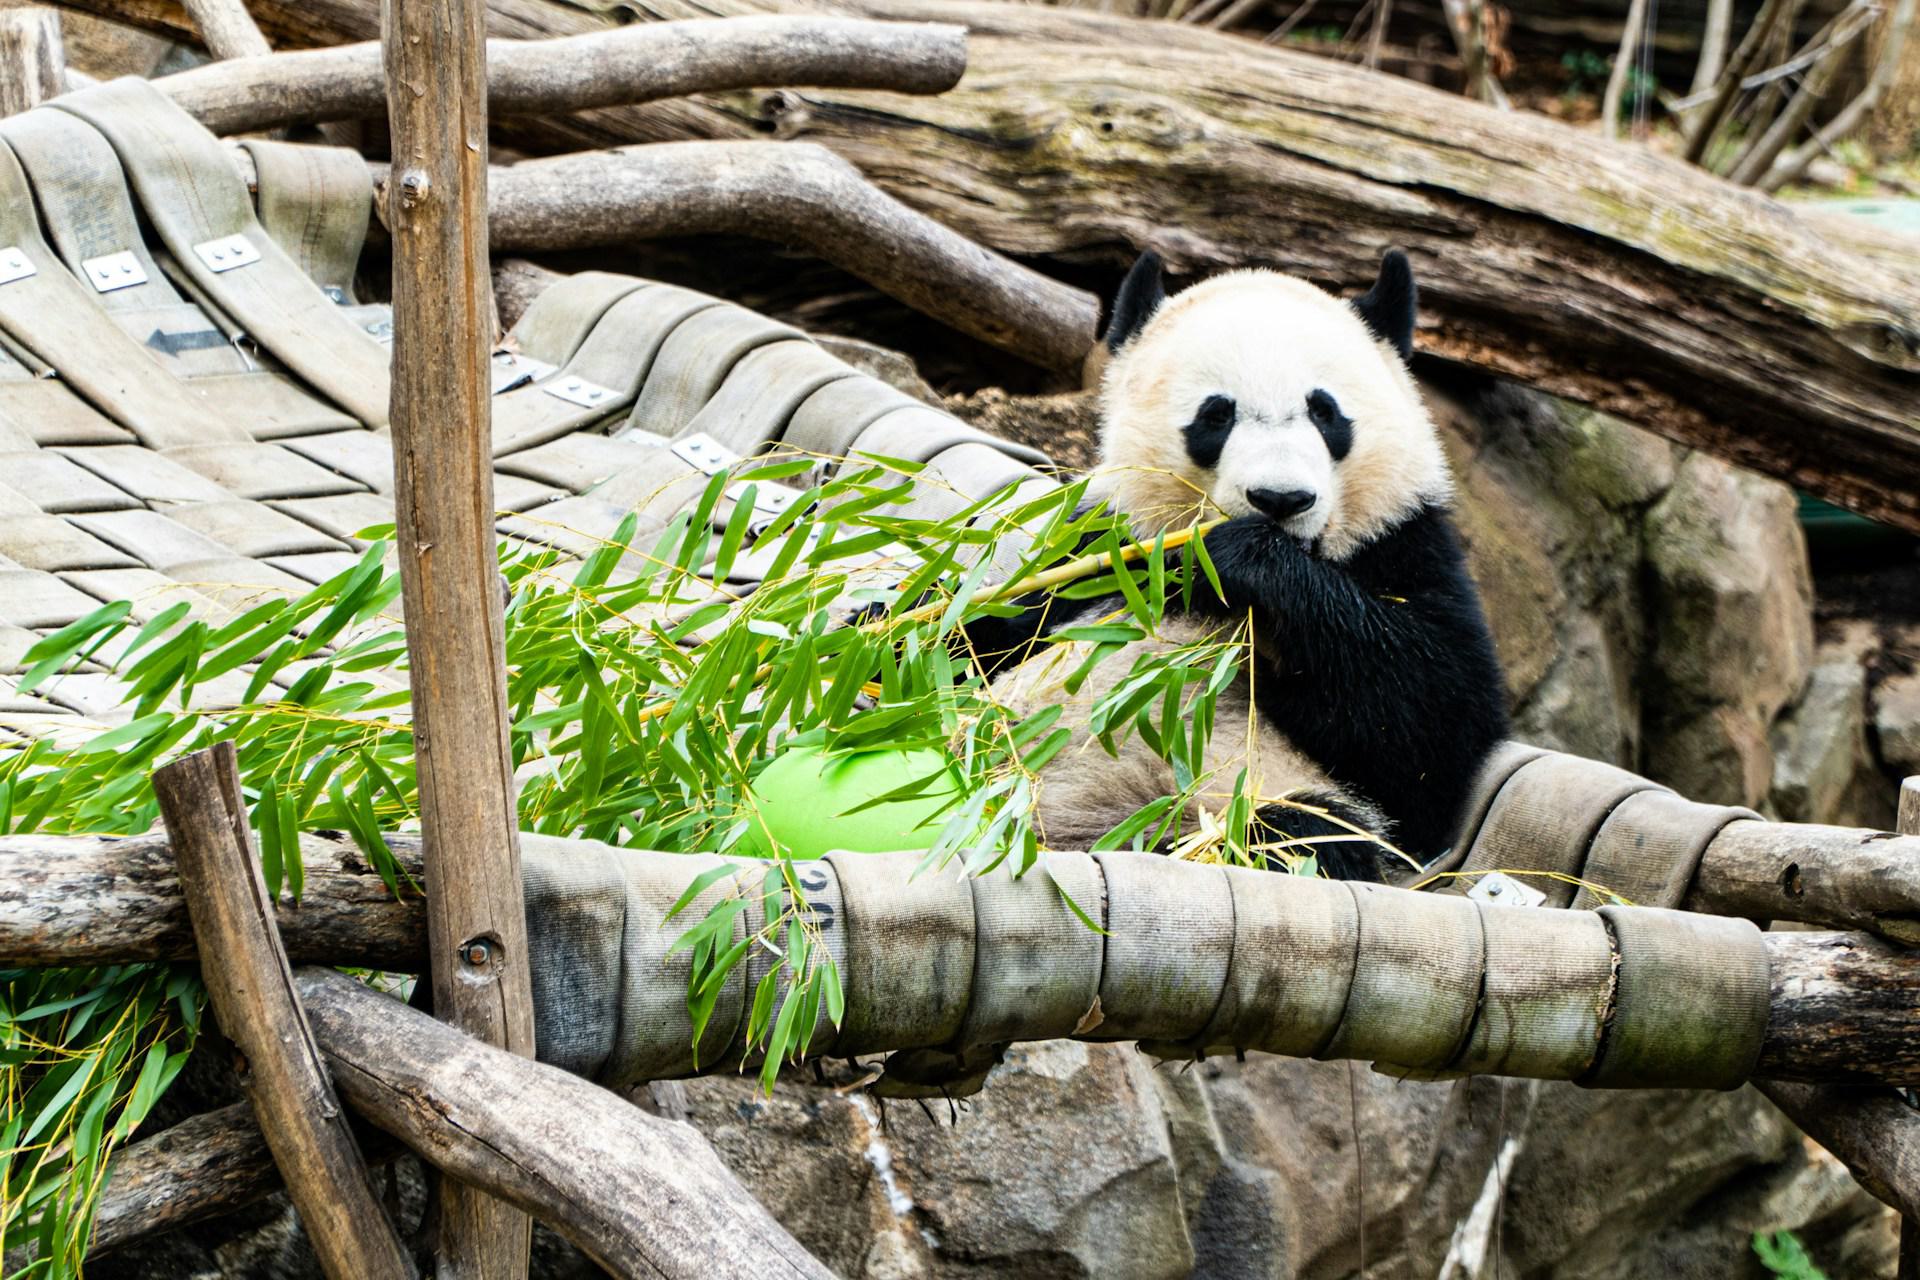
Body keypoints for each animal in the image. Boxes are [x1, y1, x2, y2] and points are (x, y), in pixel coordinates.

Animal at [964, 248, 1508, 881]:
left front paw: (1240, 561)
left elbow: (1432, 735)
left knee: (1301, 833)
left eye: (1325, 413)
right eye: (1216, 415)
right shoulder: (1107, 549)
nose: (1280, 499)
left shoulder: (1406, 543)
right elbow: (996, 628)